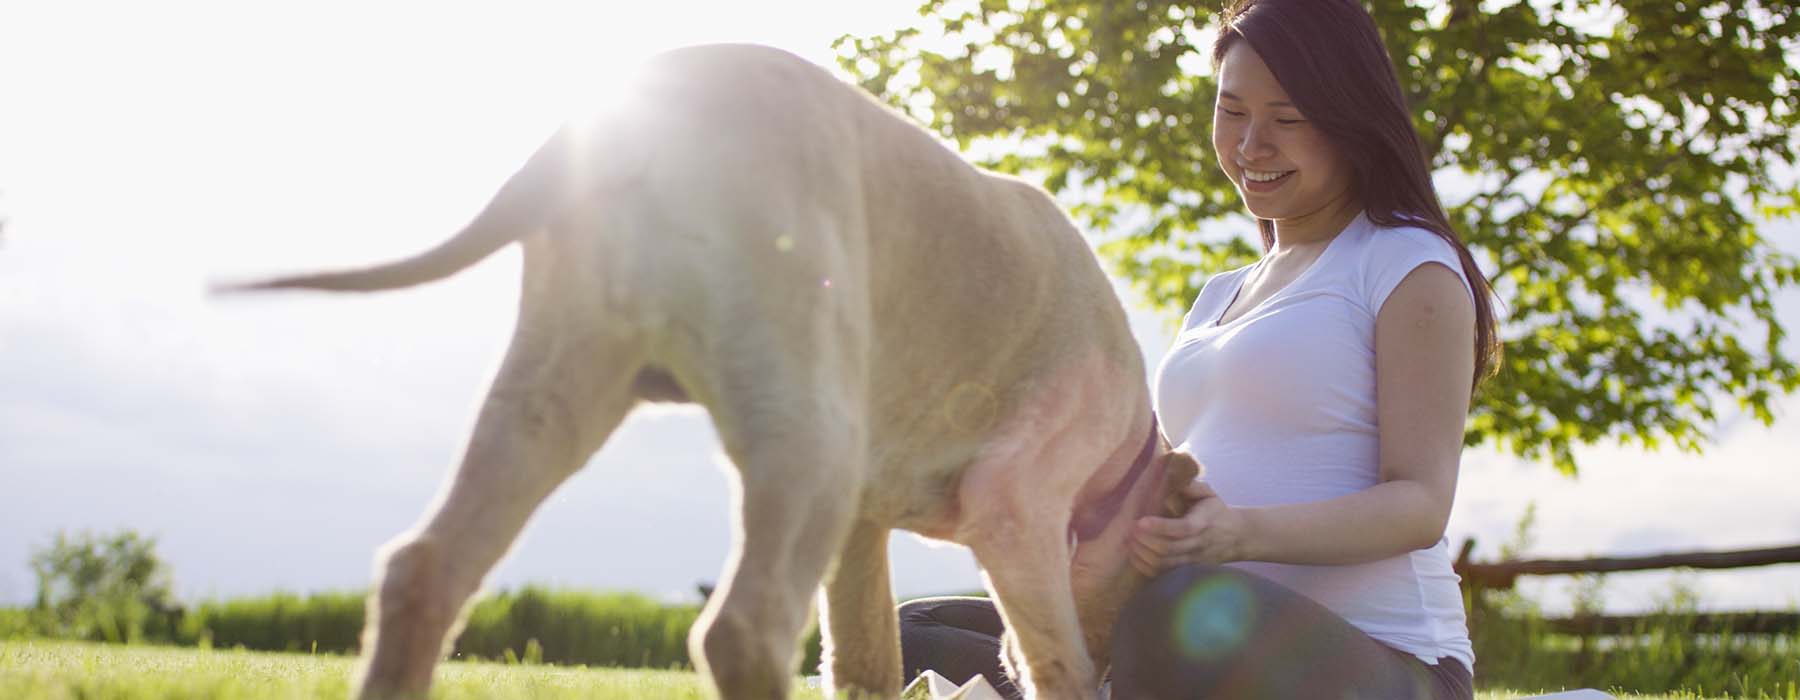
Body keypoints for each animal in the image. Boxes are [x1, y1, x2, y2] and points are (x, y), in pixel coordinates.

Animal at [225, 43, 1202, 698]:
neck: (1127, 457)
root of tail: (630, 122)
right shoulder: (1015, 511)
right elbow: (1053, 664)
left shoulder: (859, 525)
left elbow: (864, 661)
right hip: (806, 430)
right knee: (742, 628)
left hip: (559, 387)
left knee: (424, 566)